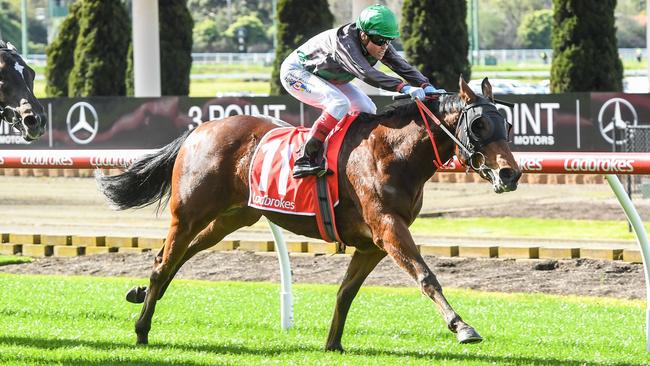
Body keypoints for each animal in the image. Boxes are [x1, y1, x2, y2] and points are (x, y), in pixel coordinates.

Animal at [97, 77, 520, 352]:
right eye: (479, 125)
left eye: (508, 124)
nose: (510, 174)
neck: (392, 153)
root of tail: (199, 129)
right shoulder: (387, 228)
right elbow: (425, 275)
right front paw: (462, 327)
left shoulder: (373, 243)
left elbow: (346, 291)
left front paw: (333, 343)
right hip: (189, 214)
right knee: (164, 262)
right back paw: (141, 328)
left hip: (232, 217)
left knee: (178, 256)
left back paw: (139, 295)